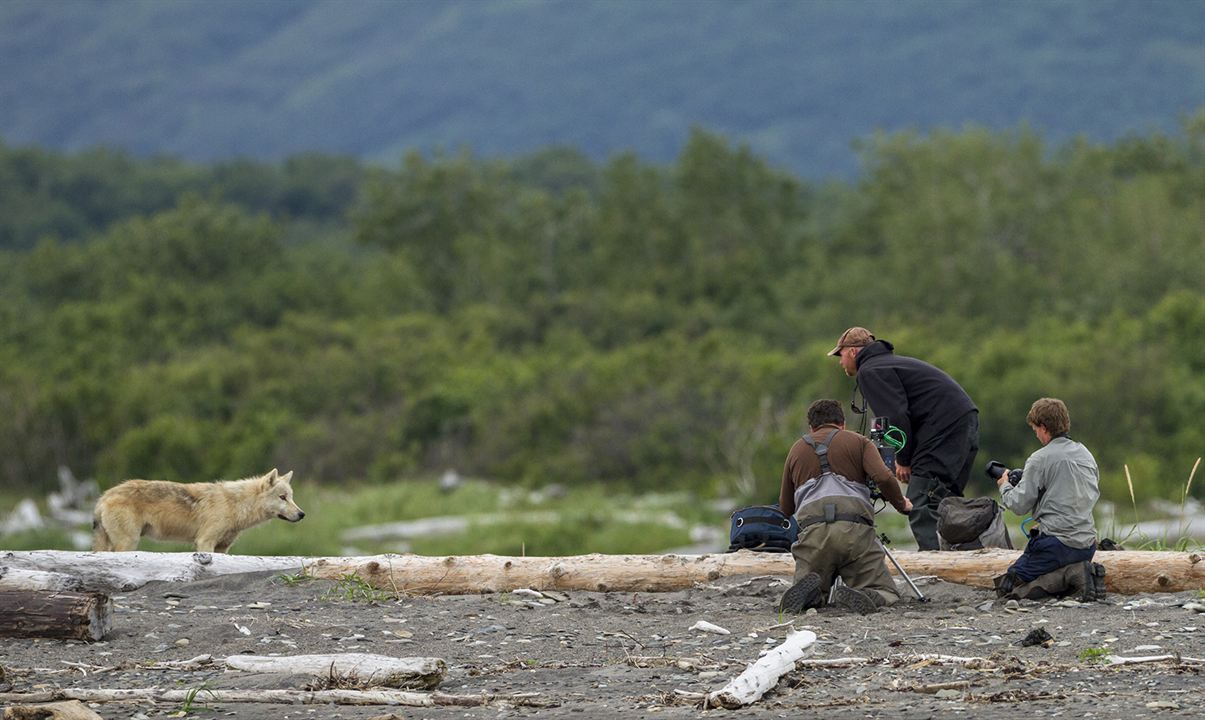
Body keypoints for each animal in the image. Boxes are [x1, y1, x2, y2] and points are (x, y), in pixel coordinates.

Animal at [93, 471, 306, 556]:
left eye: (291, 497)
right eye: (282, 497)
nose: (302, 514)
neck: (234, 505)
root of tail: (103, 496)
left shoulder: (223, 548)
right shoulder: (205, 542)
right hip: (129, 543)